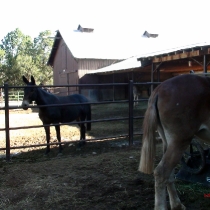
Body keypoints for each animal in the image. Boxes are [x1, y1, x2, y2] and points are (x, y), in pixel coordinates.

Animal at [139, 73, 210, 209]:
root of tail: (158, 89)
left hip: (169, 142)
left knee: (169, 174)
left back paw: (177, 205)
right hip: (180, 141)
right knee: (161, 173)